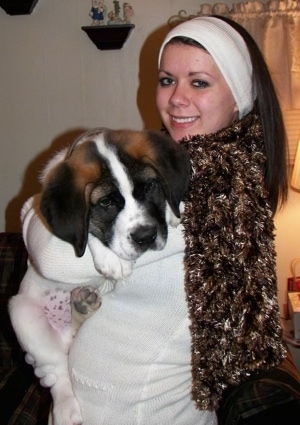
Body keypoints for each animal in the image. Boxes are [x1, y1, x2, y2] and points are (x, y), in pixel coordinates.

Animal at [9, 126, 190, 424]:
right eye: (106, 203)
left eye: (149, 188)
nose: (145, 236)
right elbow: (84, 230)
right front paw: (111, 259)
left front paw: (177, 210)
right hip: (21, 312)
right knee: (56, 371)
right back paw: (65, 409)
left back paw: (81, 306)